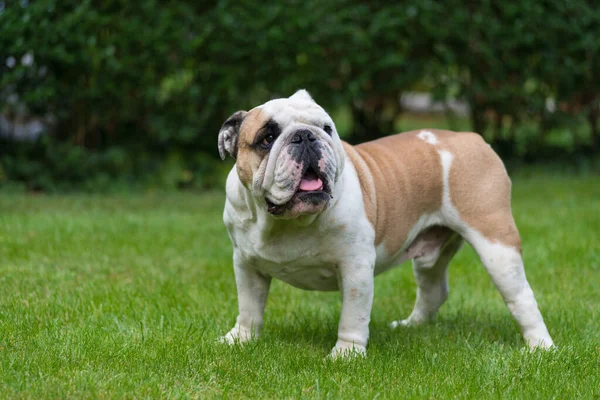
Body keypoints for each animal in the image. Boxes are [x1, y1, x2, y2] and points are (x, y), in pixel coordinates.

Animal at [216, 90, 552, 356]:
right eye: (268, 138)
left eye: (327, 128)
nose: (306, 136)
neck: (286, 221)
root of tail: (472, 138)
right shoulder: (245, 263)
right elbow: (249, 306)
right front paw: (240, 340)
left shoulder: (356, 268)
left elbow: (352, 316)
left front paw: (346, 355)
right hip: (433, 254)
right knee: (433, 289)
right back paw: (411, 326)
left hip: (496, 244)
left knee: (520, 296)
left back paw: (541, 347)